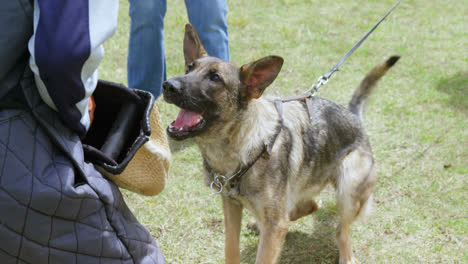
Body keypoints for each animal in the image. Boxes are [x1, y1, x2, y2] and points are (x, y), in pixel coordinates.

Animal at [164, 24, 398, 264]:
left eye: (215, 78)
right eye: (189, 67)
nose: (168, 85)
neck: (242, 147)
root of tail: (354, 116)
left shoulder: (274, 225)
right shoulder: (232, 207)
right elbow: (231, 249)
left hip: (348, 188)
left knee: (341, 230)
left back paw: (346, 256)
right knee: (310, 205)